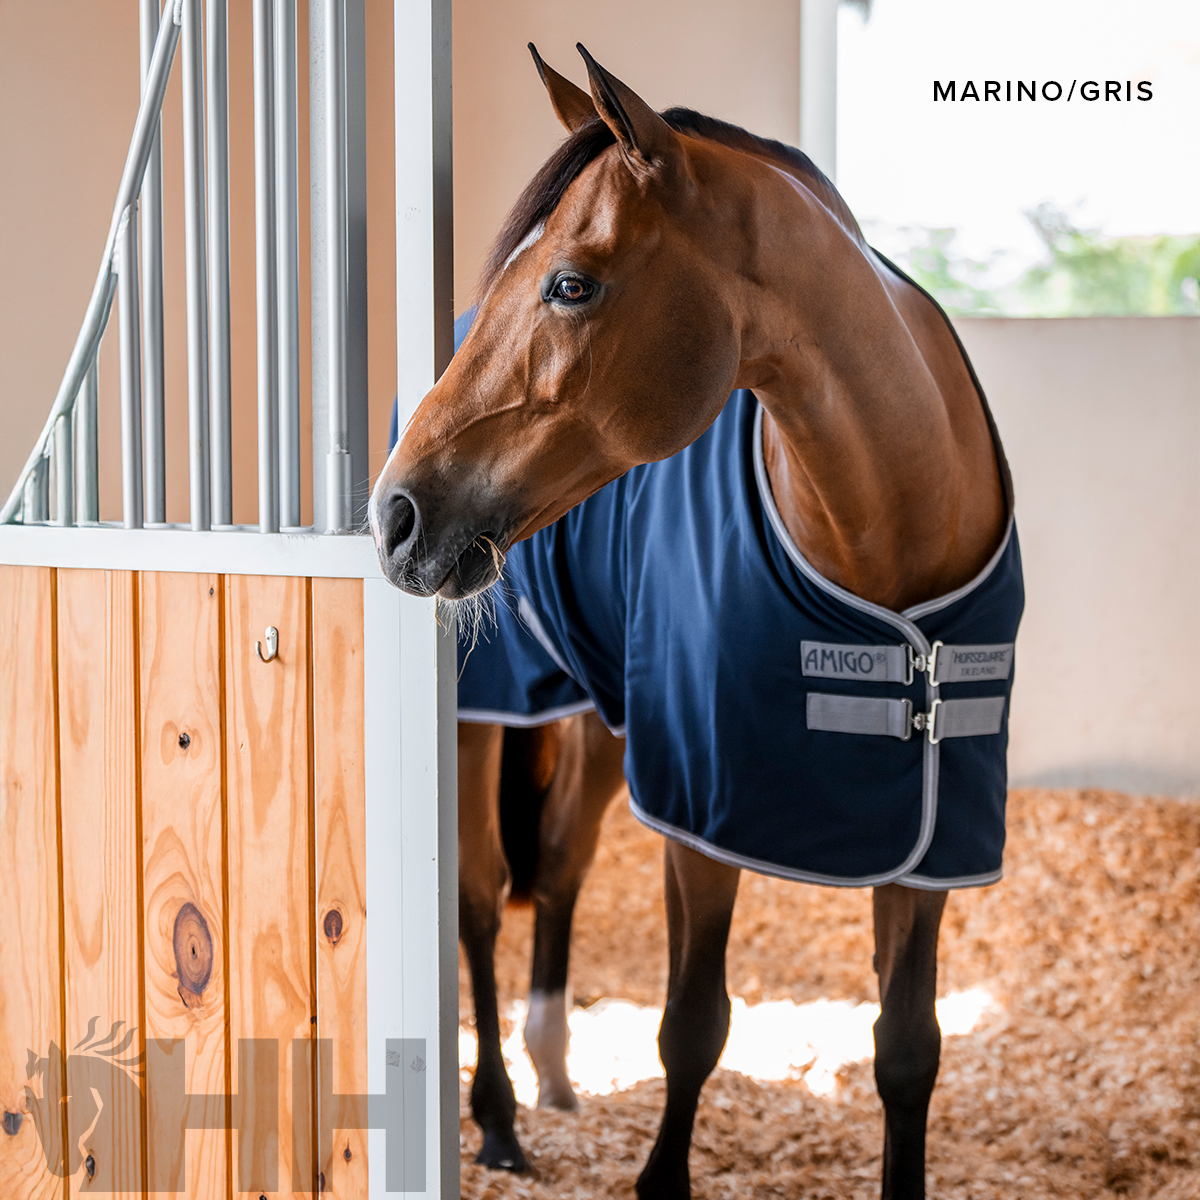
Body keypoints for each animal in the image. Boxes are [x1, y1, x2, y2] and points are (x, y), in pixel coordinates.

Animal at [370, 44, 1023, 1200]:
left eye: (571, 284)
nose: (395, 513)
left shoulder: (930, 841)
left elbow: (908, 1049)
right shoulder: (702, 816)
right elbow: (692, 1025)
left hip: (595, 722)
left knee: (560, 872)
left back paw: (554, 1074)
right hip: (483, 718)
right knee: (482, 900)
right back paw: (495, 1118)